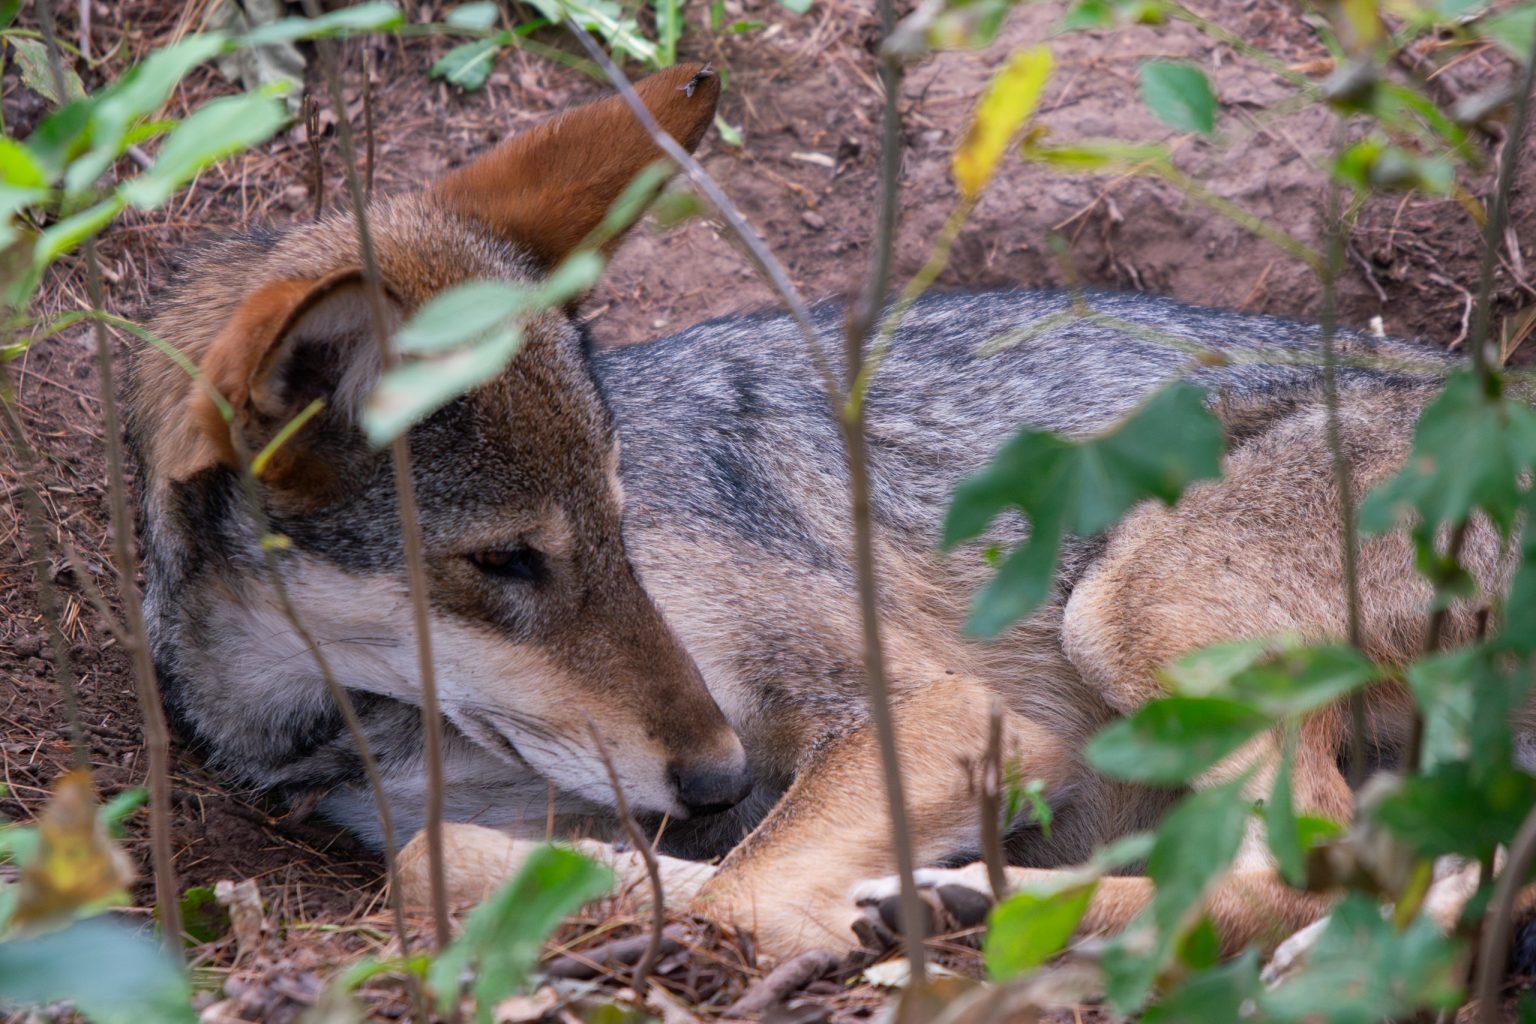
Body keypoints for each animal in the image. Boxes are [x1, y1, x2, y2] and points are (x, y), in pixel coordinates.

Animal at [127, 63, 1517, 960]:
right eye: (505, 561)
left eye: (622, 522)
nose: (716, 774)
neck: (364, 718)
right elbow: (452, 860)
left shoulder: (942, 706)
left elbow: (734, 889)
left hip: (1129, 612)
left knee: (1289, 871)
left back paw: (970, 918)